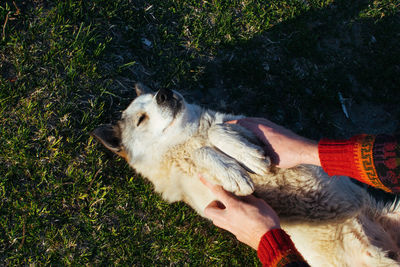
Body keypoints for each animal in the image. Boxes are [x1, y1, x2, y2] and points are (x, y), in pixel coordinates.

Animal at [92, 83, 400, 266]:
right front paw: (232, 172)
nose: (164, 93)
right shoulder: (208, 194)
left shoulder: (250, 127)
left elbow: (217, 131)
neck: (188, 138)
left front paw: (247, 157)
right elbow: (204, 155)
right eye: (141, 119)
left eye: (156, 94)